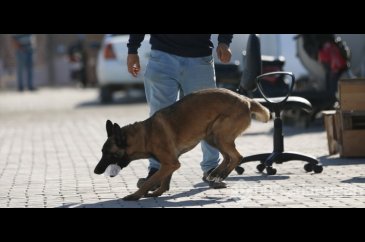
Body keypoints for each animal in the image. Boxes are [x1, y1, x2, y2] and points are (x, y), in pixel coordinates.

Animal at [94, 88, 270, 199]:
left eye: (109, 154)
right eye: (102, 152)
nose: (96, 171)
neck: (145, 135)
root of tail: (246, 100)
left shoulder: (170, 163)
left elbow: (151, 181)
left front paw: (134, 196)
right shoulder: (170, 163)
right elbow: (164, 181)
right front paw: (157, 193)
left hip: (219, 135)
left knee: (237, 157)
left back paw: (222, 174)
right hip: (211, 136)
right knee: (228, 157)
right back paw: (216, 173)